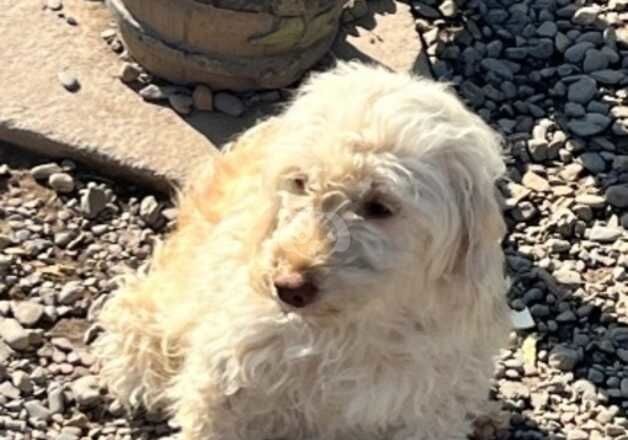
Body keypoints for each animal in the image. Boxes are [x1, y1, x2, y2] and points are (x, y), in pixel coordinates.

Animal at [97, 61, 510, 440]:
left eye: (380, 205)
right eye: (300, 181)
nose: (288, 286)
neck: (346, 332)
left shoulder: (426, 408)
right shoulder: (226, 384)